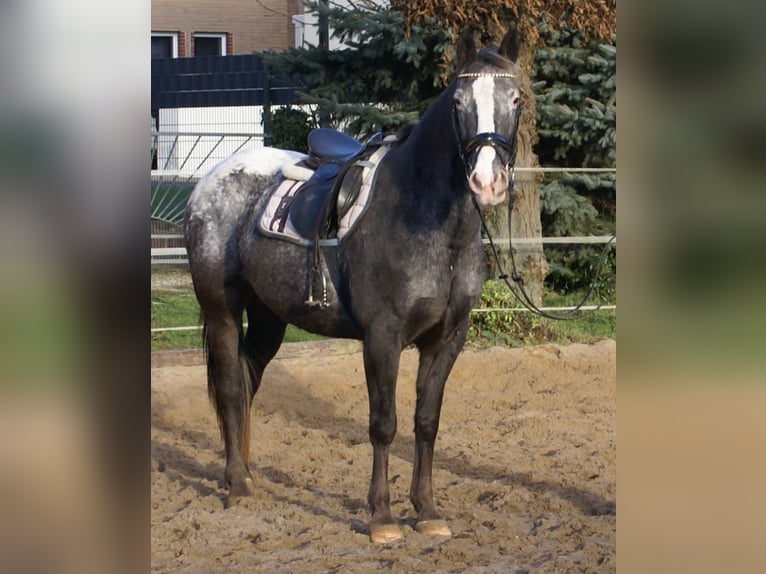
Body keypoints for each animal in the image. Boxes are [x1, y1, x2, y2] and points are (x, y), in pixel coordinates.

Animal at [184, 29, 524, 548]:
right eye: (459, 101)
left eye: (516, 98)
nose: (487, 181)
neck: (430, 222)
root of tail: (211, 180)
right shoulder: (382, 337)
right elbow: (384, 424)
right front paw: (382, 517)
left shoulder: (447, 338)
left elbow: (426, 422)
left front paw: (427, 510)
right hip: (221, 309)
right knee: (228, 386)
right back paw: (237, 485)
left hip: (268, 318)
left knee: (247, 382)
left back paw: (242, 472)